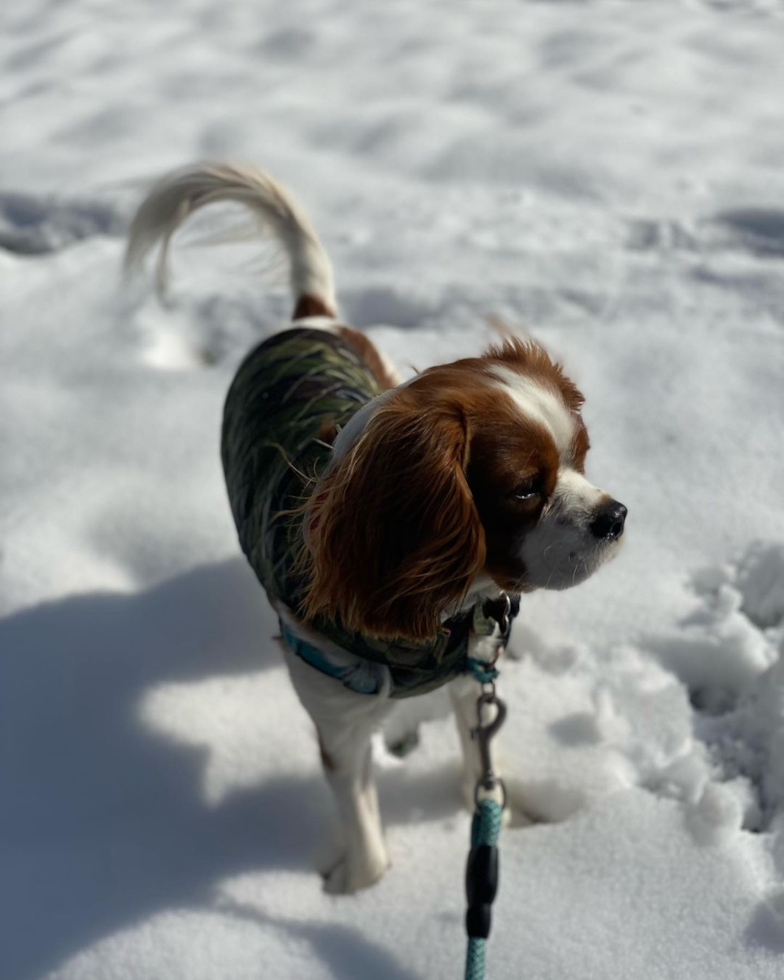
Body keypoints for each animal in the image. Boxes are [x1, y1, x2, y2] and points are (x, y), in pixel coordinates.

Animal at [130, 163, 632, 896]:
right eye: (523, 489)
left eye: (581, 458)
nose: (615, 515)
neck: (434, 617)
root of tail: (309, 316)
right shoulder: (338, 726)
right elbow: (365, 831)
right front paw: (359, 895)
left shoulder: (470, 678)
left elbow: (481, 763)